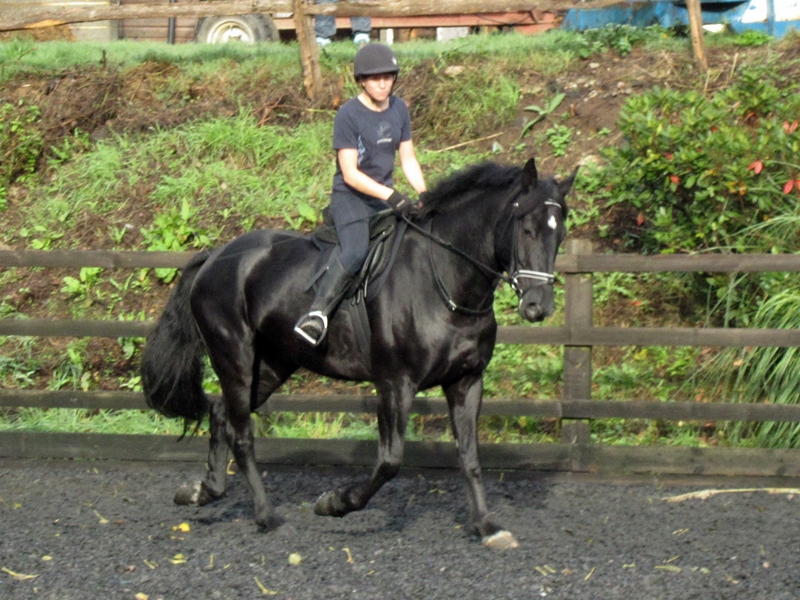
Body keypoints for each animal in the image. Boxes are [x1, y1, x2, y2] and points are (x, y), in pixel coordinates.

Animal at [141, 157, 577, 549]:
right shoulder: (395, 384)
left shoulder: (466, 382)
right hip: (234, 355)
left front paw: (486, 526)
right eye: (527, 228)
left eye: (560, 235)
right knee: (242, 433)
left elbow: (470, 456)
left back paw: (202, 491)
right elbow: (390, 462)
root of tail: (216, 256)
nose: (538, 307)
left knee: (221, 416)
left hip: (273, 363)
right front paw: (335, 503)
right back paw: (267, 516)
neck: (447, 281)